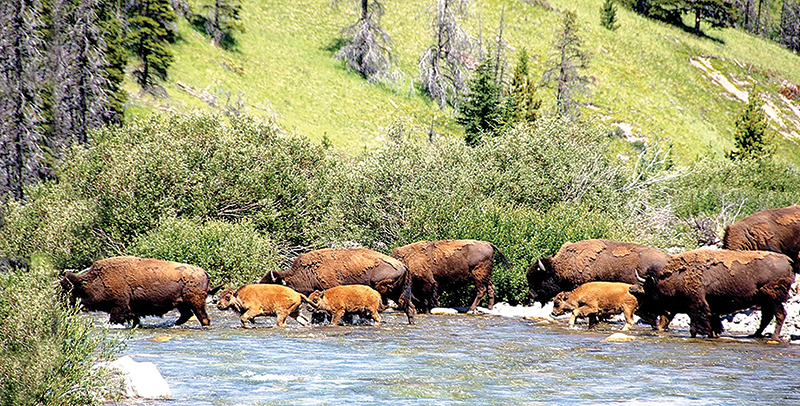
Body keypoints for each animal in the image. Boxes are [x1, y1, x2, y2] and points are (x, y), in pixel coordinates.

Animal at [60, 256, 219, 327]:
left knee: (203, 318)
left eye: (70, 291)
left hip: (196, 302)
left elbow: (115, 319)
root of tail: (204, 273)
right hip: (182, 303)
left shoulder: (118, 307)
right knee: (187, 314)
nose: (62, 306)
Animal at [630, 249, 795, 340]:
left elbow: (698, 325)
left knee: (779, 315)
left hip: (772, 298)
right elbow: (709, 324)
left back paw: (773, 337)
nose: (632, 289)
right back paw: (754, 335)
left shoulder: (697, 306)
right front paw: (714, 334)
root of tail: (787, 260)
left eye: (648, 288)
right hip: (765, 300)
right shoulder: (708, 308)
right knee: (768, 317)